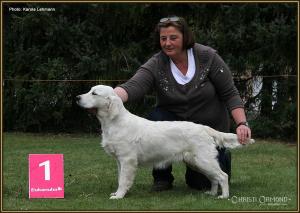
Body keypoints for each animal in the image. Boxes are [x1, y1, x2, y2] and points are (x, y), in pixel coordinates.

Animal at [76, 85, 254, 200]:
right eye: (89, 90)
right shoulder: (119, 161)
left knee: (223, 176)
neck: (114, 122)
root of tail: (204, 128)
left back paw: (224, 196)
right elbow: (121, 178)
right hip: (197, 162)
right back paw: (211, 193)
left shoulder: (127, 160)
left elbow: (123, 180)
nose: (77, 98)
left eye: (94, 93)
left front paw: (119, 196)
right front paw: (117, 193)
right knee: (214, 178)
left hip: (203, 160)